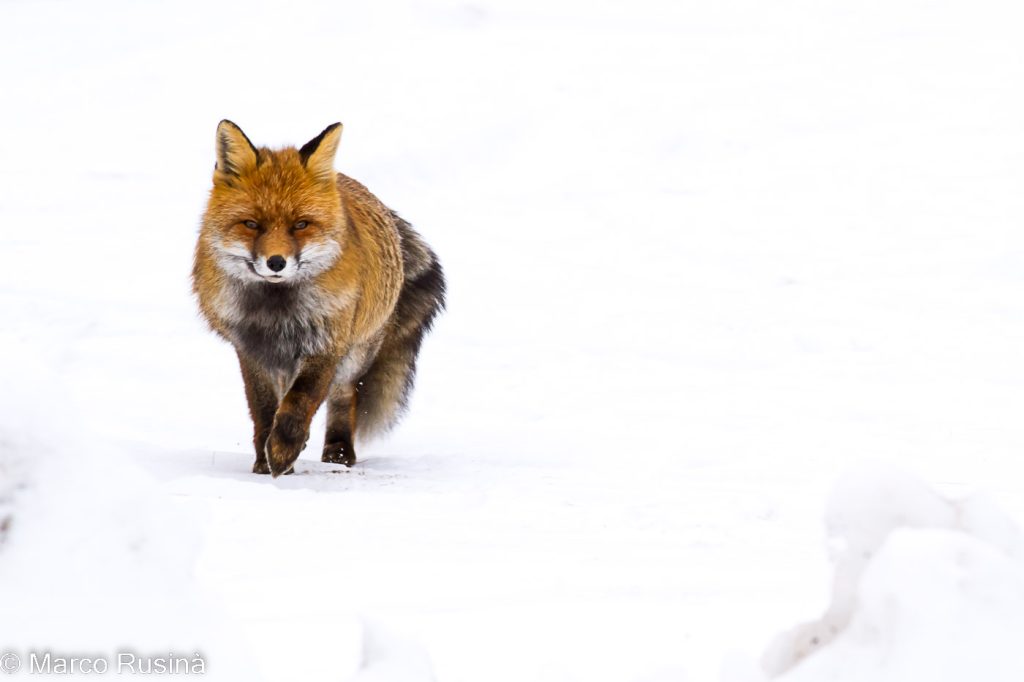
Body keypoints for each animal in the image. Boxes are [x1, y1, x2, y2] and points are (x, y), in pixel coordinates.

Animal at [193, 119, 446, 475]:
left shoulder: (328, 343)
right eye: (251, 224)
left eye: (300, 224)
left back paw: (338, 453)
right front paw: (264, 462)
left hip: (356, 355)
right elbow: (264, 410)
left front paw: (283, 450)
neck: (278, 311)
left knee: (343, 397)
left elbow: (301, 402)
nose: (276, 262)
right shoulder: (252, 350)